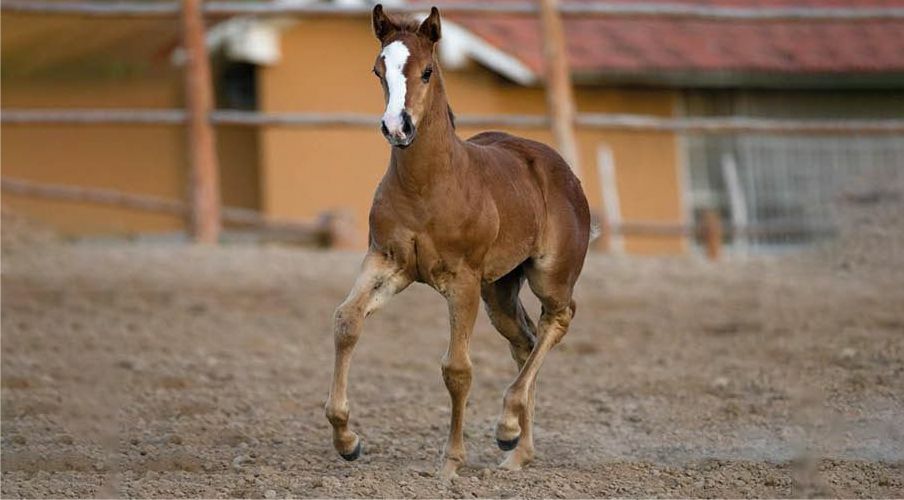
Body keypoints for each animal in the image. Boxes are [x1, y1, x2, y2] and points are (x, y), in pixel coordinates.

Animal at [324, 4, 592, 480]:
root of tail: (559, 167)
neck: (429, 185)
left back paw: (507, 429)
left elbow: (457, 369)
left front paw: (451, 461)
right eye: (378, 70)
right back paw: (519, 452)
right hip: (499, 291)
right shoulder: (386, 262)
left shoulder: (462, 280)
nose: (397, 127)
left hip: (549, 276)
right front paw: (347, 441)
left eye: (427, 71)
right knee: (524, 340)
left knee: (557, 321)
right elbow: (346, 321)